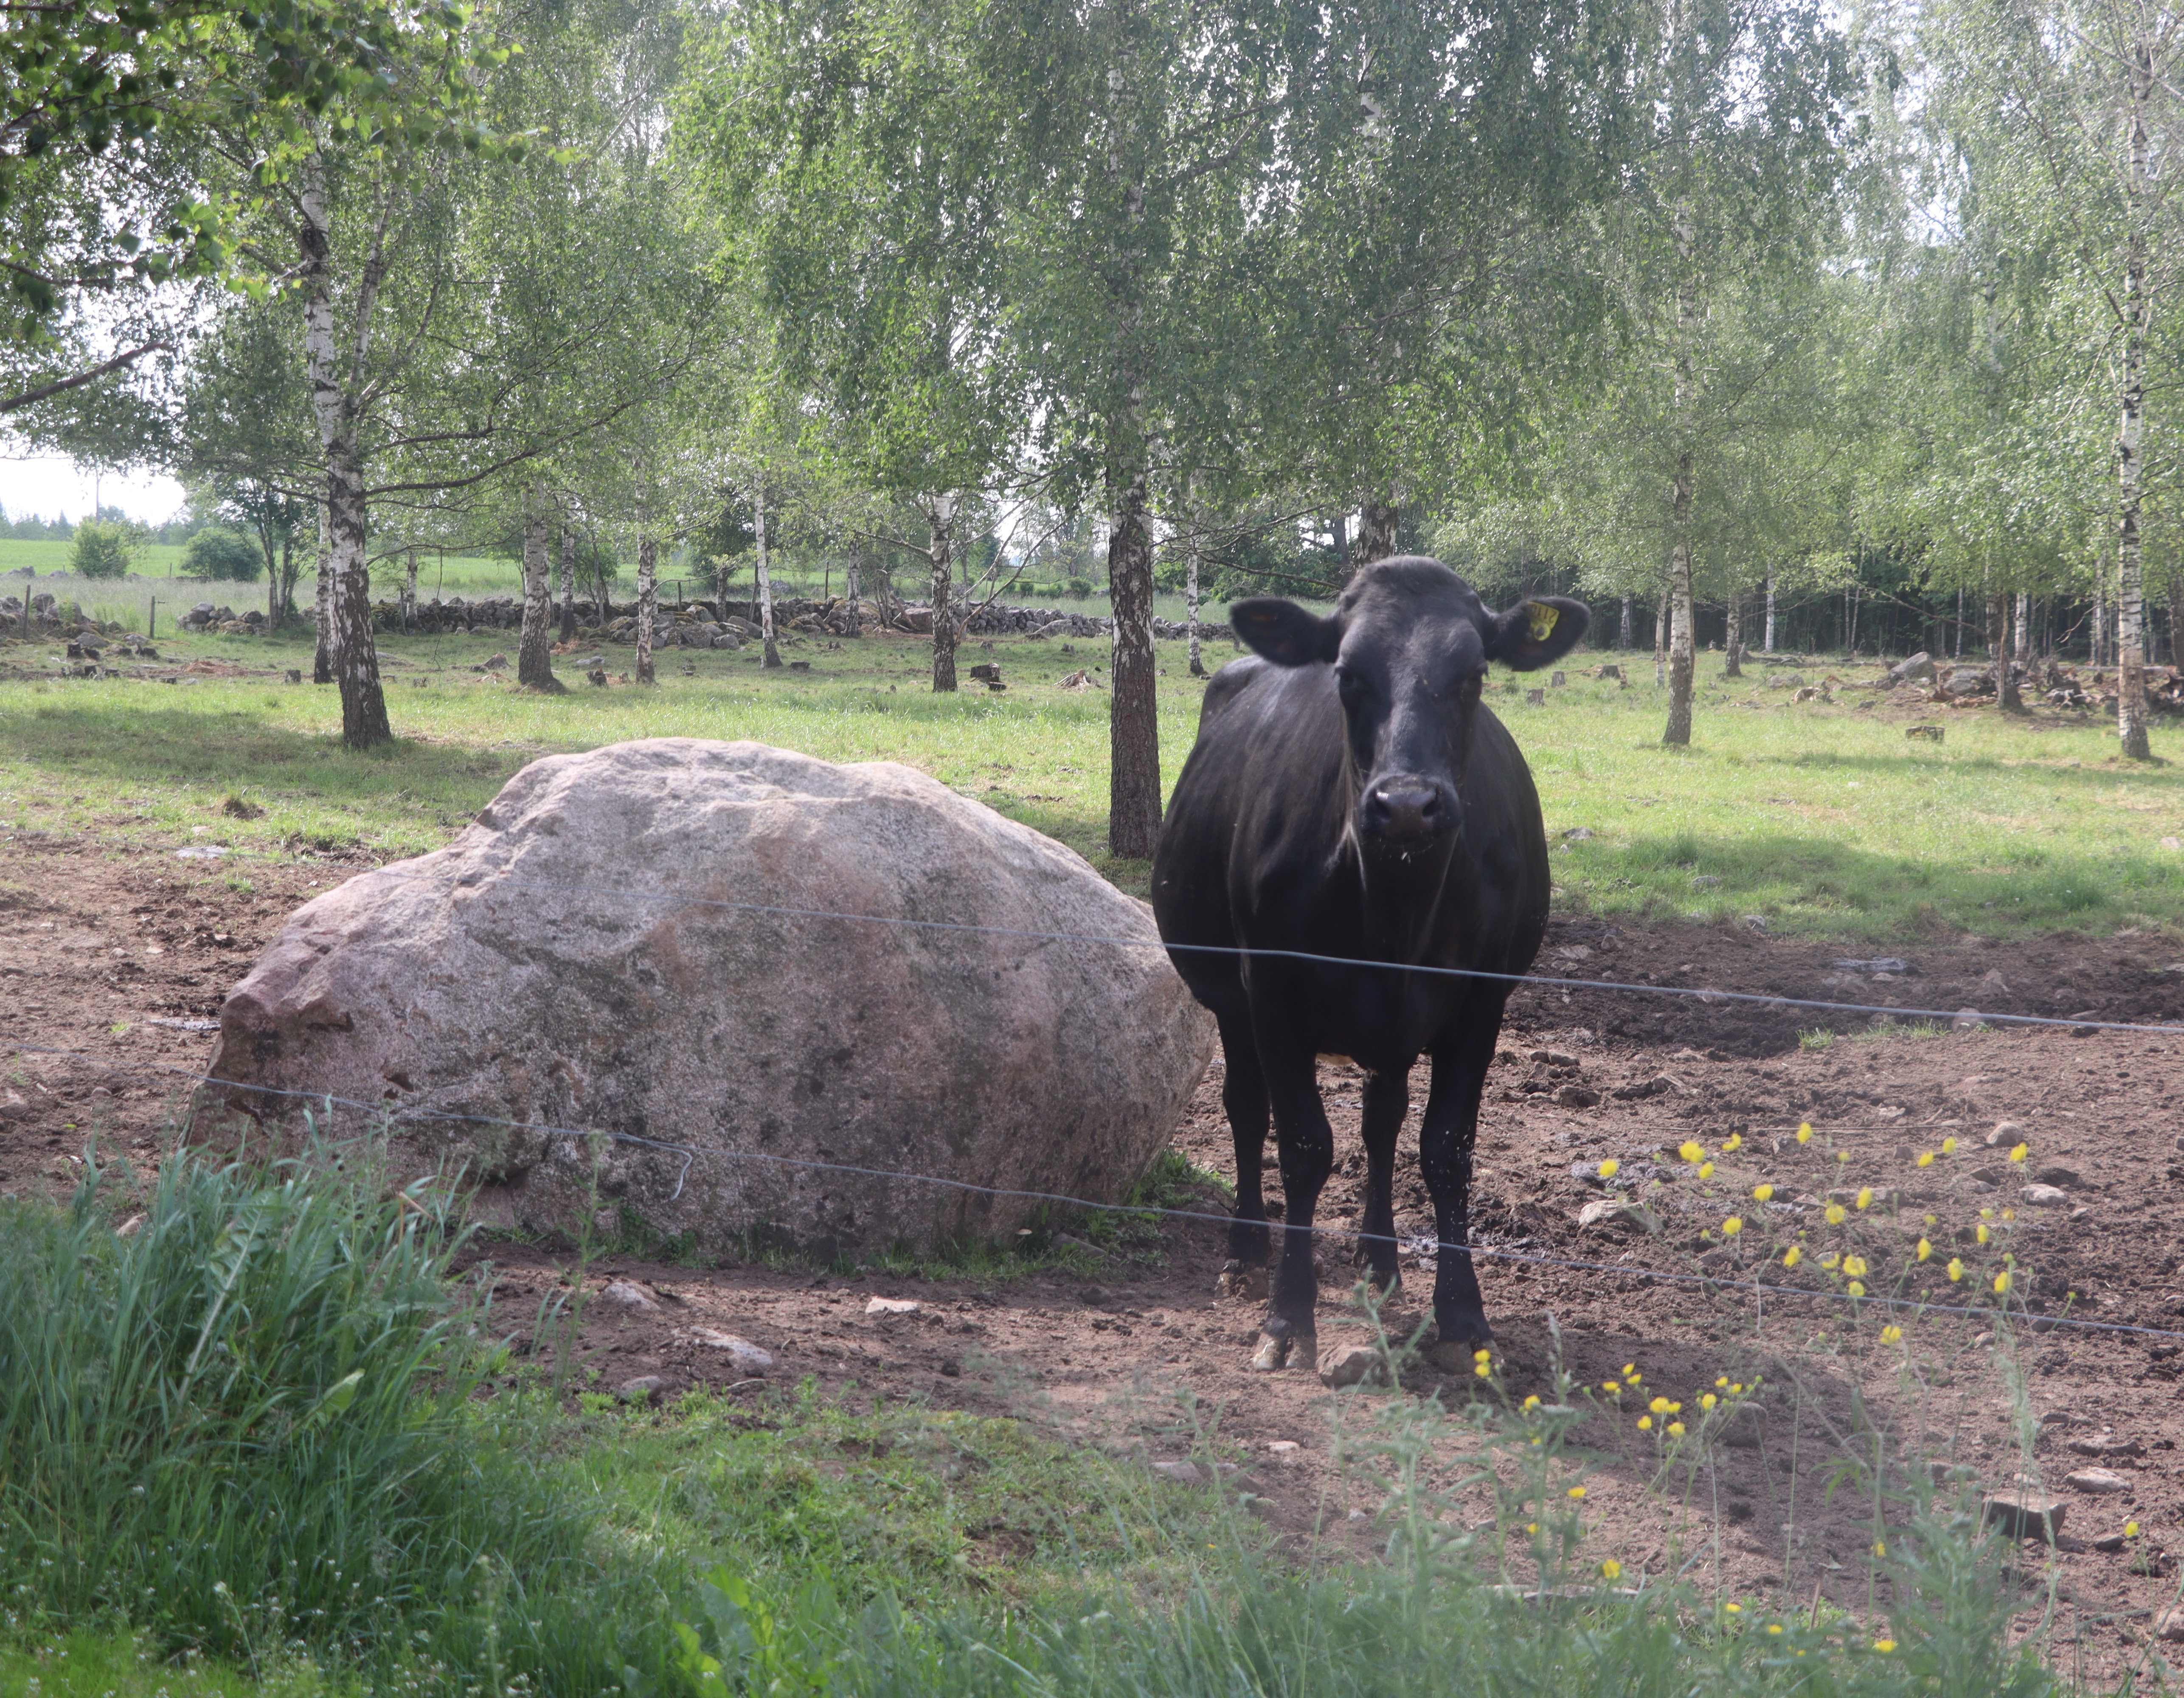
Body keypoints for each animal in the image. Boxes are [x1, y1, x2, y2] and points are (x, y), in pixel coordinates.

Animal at [1150, 557, 1588, 1371]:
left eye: (1475, 674)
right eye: (1348, 674)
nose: (1408, 804)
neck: (1395, 916)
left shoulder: (1482, 1002)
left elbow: (1446, 1150)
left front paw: (1464, 1317)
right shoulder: (1271, 990)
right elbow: (1302, 1146)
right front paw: (1288, 1319)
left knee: (1383, 1120)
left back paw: (1379, 1258)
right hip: (1229, 1000)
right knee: (1245, 1109)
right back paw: (1246, 1251)